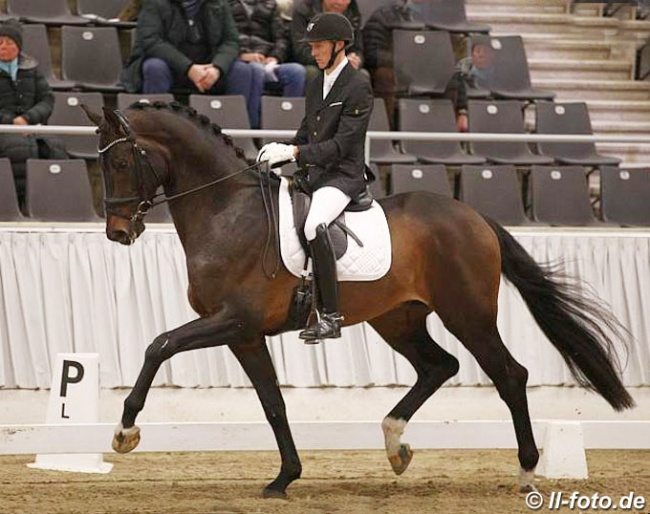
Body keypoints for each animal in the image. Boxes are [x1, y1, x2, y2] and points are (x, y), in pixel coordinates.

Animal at [82, 102, 632, 498]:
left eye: (122, 161)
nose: (117, 232)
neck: (226, 212)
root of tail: (472, 216)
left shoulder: (234, 320)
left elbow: (158, 345)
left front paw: (124, 433)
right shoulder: (246, 334)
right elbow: (272, 402)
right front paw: (285, 477)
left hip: (468, 315)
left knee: (509, 376)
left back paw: (526, 472)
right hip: (398, 319)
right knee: (439, 366)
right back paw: (395, 444)